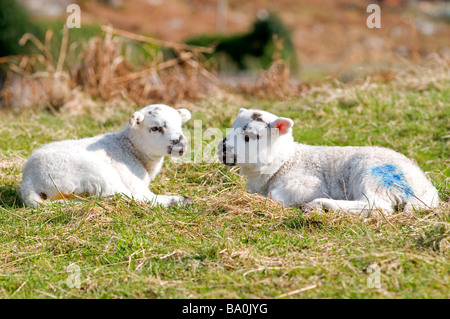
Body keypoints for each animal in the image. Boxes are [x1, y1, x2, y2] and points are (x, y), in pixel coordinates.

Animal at [20, 104, 192, 208]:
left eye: (180, 125)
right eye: (155, 128)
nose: (182, 144)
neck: (131, 148)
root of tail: (29, 182)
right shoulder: (133, 181)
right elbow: (141, 196)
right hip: (94, 173)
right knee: (122, 196)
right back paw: (180, 200)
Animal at [217, 109, 440, 216]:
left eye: (250, 137)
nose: (223, 149)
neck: (286, 161)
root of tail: (423, 188)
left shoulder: (307, 184)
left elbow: (275, 196)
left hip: (373, 175)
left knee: (377, 206)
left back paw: (319, 205)